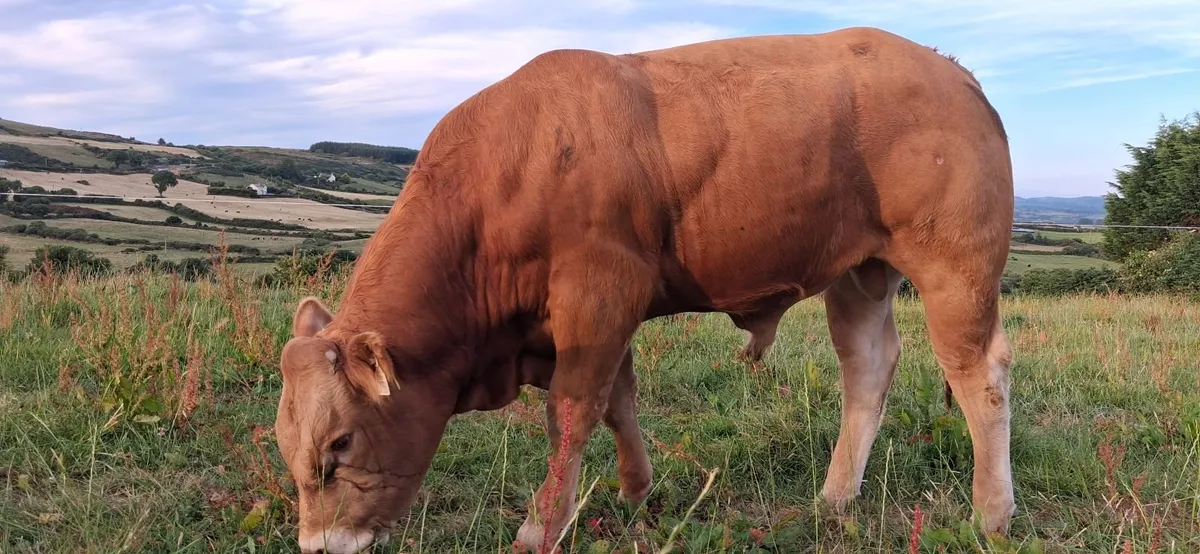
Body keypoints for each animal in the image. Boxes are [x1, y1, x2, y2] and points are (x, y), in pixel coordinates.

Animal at [274, 26, 1016, 554]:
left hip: (957, 267)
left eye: (339, 446)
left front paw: (542, 525)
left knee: (981, 375)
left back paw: (991, 511)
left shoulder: (598, 296)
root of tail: (949, 67)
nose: (319, 546)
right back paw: (836, 498)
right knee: (867, 369)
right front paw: (636, 488)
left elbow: (572, 412)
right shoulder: (600, 315)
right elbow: (618, 402)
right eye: (288, 446)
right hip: (861, 273)